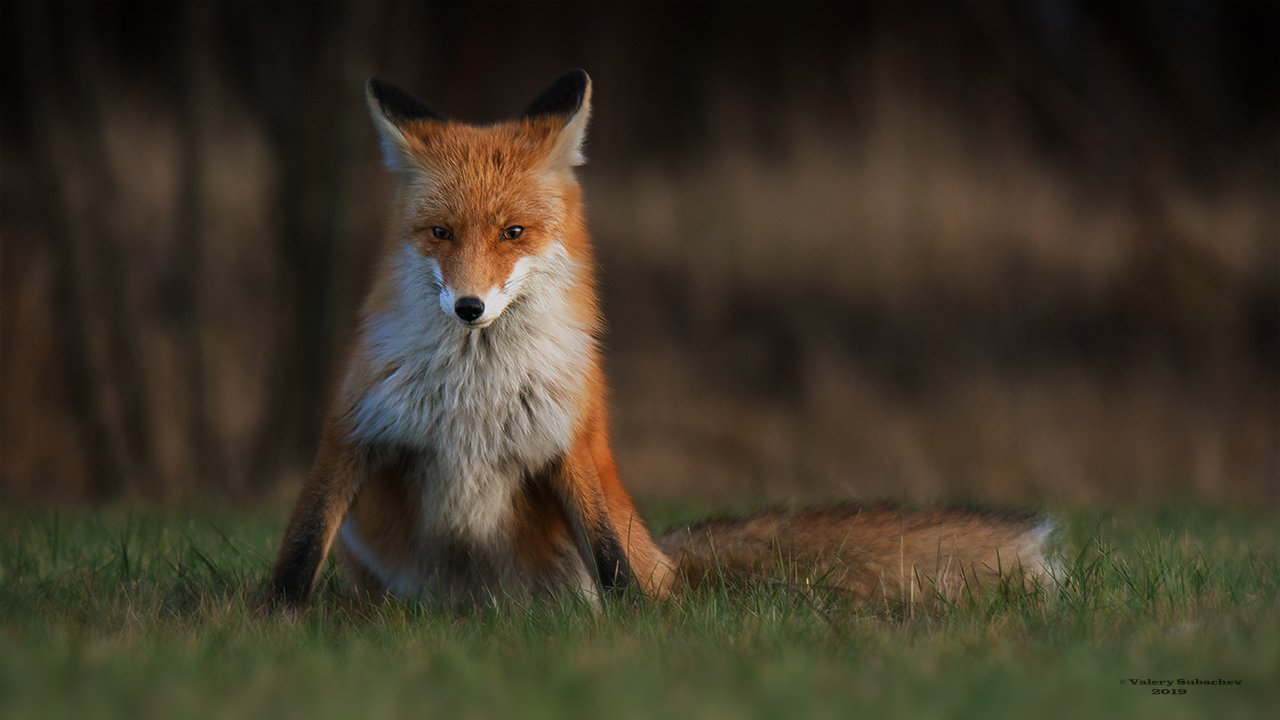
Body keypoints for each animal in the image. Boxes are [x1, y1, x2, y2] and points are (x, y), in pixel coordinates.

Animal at [264, 70, 1054, 607]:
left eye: (513, 233)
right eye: (440, 234)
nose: (468, 306)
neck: (475, 392)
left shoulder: (571, 446)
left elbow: (613, 565)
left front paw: (640, 633)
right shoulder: (353, 431)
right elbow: (299, 553)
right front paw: (272, 623)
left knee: (637, 572)